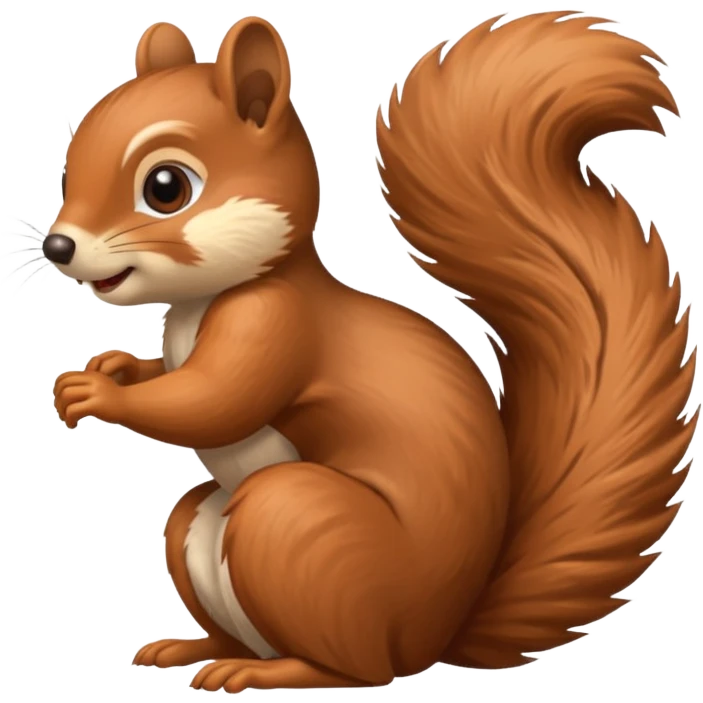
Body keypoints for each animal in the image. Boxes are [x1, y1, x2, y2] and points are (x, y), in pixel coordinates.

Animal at [45, 11, 697, 695]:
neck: (203, 301)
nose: (58, 246)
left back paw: (270, 671)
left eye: (166, 187)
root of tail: (434, 638)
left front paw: (99, 391)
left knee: (354, 667)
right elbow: (169, 377)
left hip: (295, 525)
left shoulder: (277, 326)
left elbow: (214, 400)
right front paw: (113, 367)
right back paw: (193, 648)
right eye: (66, 171)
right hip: (203, 530)